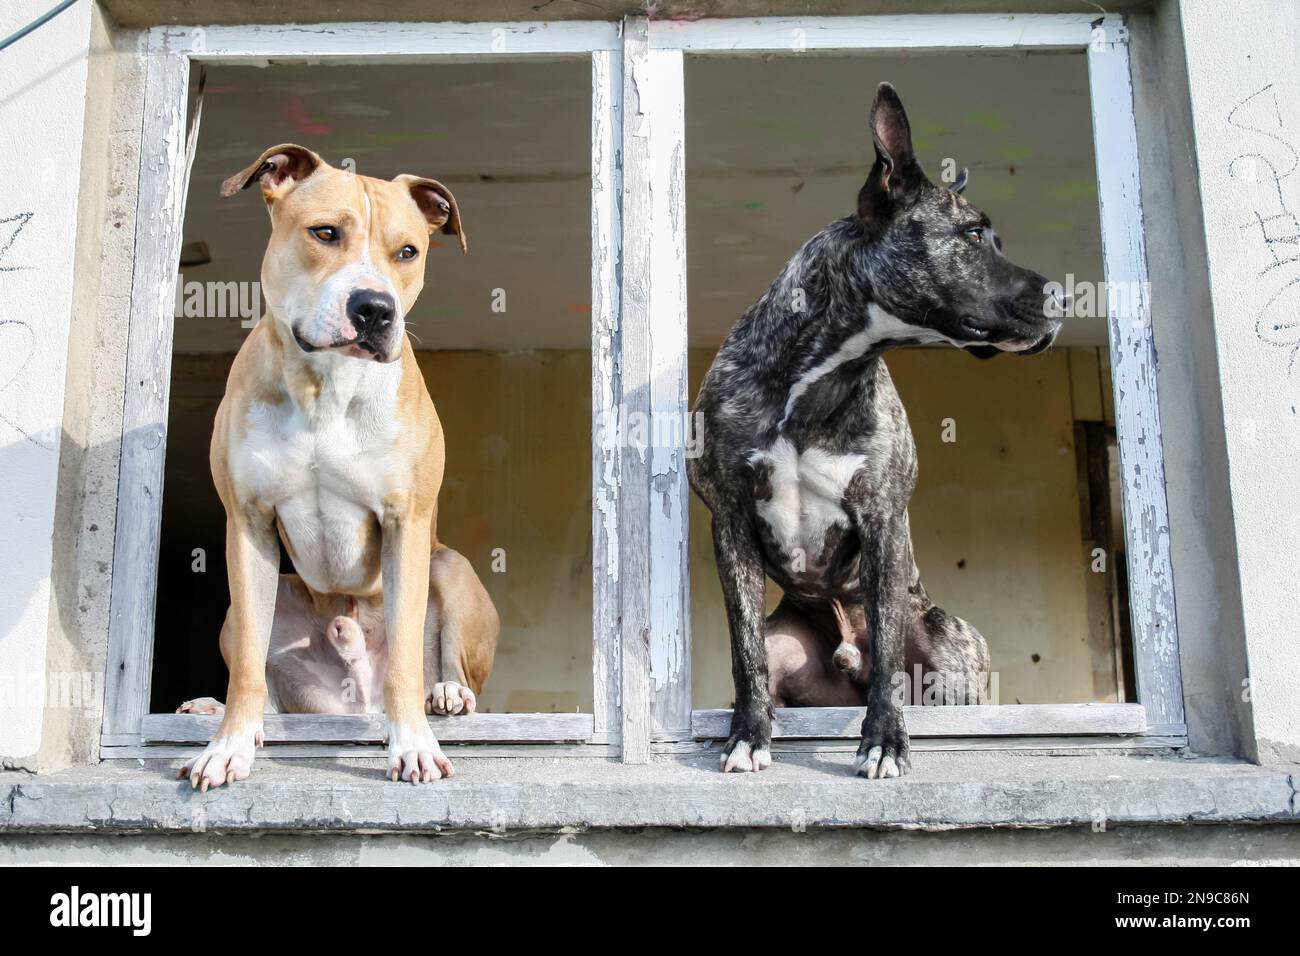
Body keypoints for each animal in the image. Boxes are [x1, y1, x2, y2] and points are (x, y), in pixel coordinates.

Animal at [183, 143, 501, 790]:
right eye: (325, 232)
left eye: (407, 252)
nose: (375, 309)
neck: (324, 385)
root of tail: (357, 701)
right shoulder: (247, 523)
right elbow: (247, 664)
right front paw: (228, 745)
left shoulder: (406, 522)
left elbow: (404, 656)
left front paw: (414, 747)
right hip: (255, 601)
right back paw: (216, 708)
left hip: (450, 567)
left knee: (447, 665)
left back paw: (447, 694)